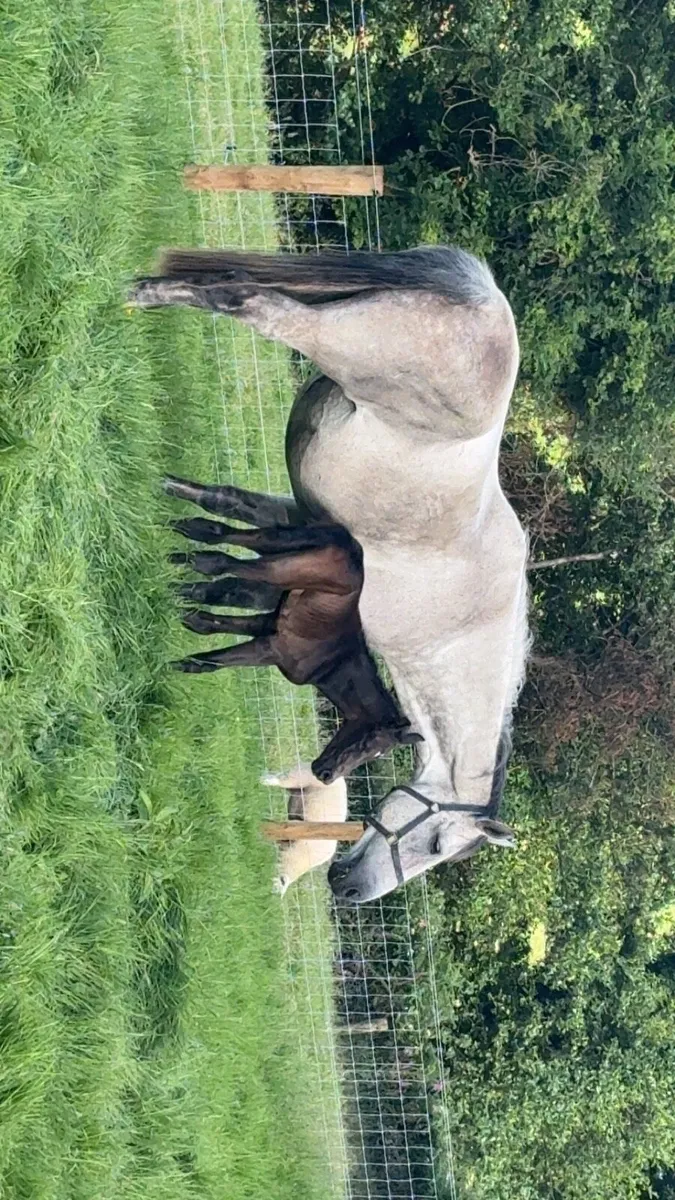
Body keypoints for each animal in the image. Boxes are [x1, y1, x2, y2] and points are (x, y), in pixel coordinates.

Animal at [165, 474, 422, 784]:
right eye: (371, 746)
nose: (325, 775)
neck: (333, 660)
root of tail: (345, 541)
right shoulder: (273, 649)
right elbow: (211, 662)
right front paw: (169, 666)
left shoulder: (268, 625)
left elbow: (208, 627)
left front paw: (182, 611)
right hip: (278, 568)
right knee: (221, 561)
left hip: (273, 544)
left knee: (219, 532)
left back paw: (177, 543)